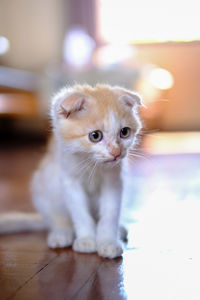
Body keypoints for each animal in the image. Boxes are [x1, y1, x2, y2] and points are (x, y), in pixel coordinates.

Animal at [0, 84, 142, 258]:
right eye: (95, 136)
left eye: (124, 132)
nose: (116, 153)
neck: (92, 165)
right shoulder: (69, 181)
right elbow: (80, 213)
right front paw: (87, 240)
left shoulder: (114, 181)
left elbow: (110, 213)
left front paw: (108, 241)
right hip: (43, 185)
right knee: (56, 218)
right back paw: (61, 233)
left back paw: (119, 229)